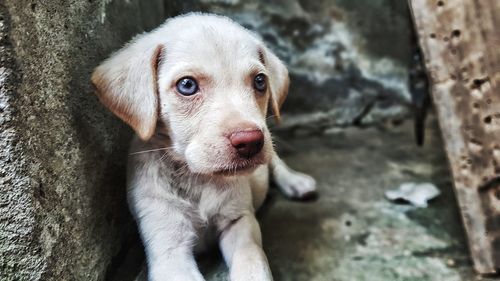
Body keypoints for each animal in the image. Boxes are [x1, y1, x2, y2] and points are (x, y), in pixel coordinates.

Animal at [91, 13, 316, 280]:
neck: (198, 178)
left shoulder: (240, 223)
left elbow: (252, 266)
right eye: (187, 85)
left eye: (260, 81)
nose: (250, 141)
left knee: (276, 163)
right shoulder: (169, 249)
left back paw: (297, 182)